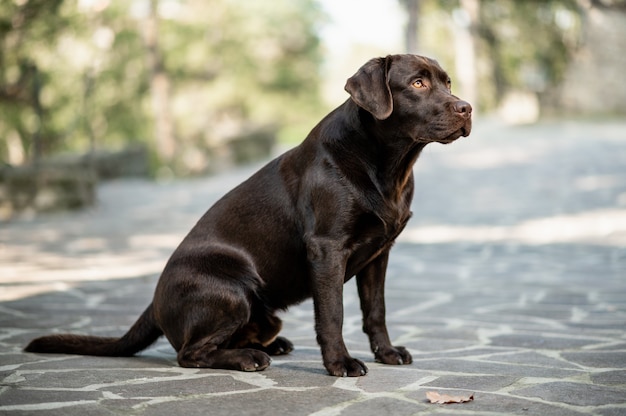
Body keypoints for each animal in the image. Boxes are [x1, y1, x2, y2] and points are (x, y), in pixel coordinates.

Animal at [26, 53, 470, 376]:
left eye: (447, 82)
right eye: (417, 83)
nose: (466, 107)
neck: (388, 166)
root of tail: (153, 303)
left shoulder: (379, 252)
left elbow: (375, 310)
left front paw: (387, 353)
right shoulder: (328, 249)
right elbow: (333, 314)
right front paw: (340, 363)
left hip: (263, 310)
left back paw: (270, 345)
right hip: (232, 290)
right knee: (189, 353)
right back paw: (248, 358)